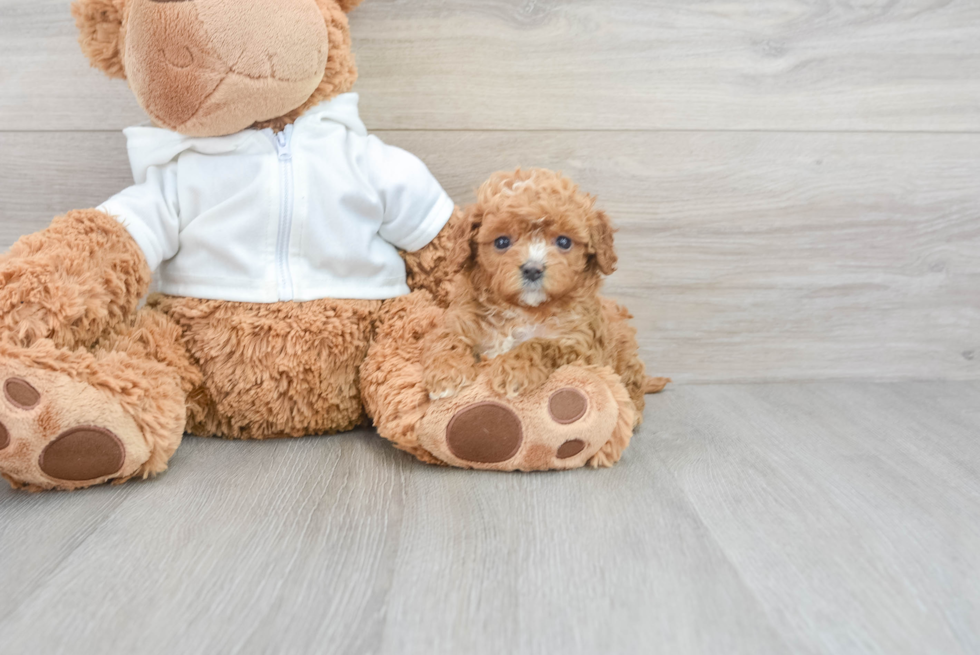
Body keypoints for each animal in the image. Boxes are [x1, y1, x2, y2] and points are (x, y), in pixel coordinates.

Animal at [422, 169, 668, 416]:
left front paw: (514, 369)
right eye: (501, 241)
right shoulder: (460, 319)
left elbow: (542, 344)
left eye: (564, 241)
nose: (533, 269)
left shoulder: (583, 349)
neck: (523, 310)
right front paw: (446, 372)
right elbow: (445, 337)